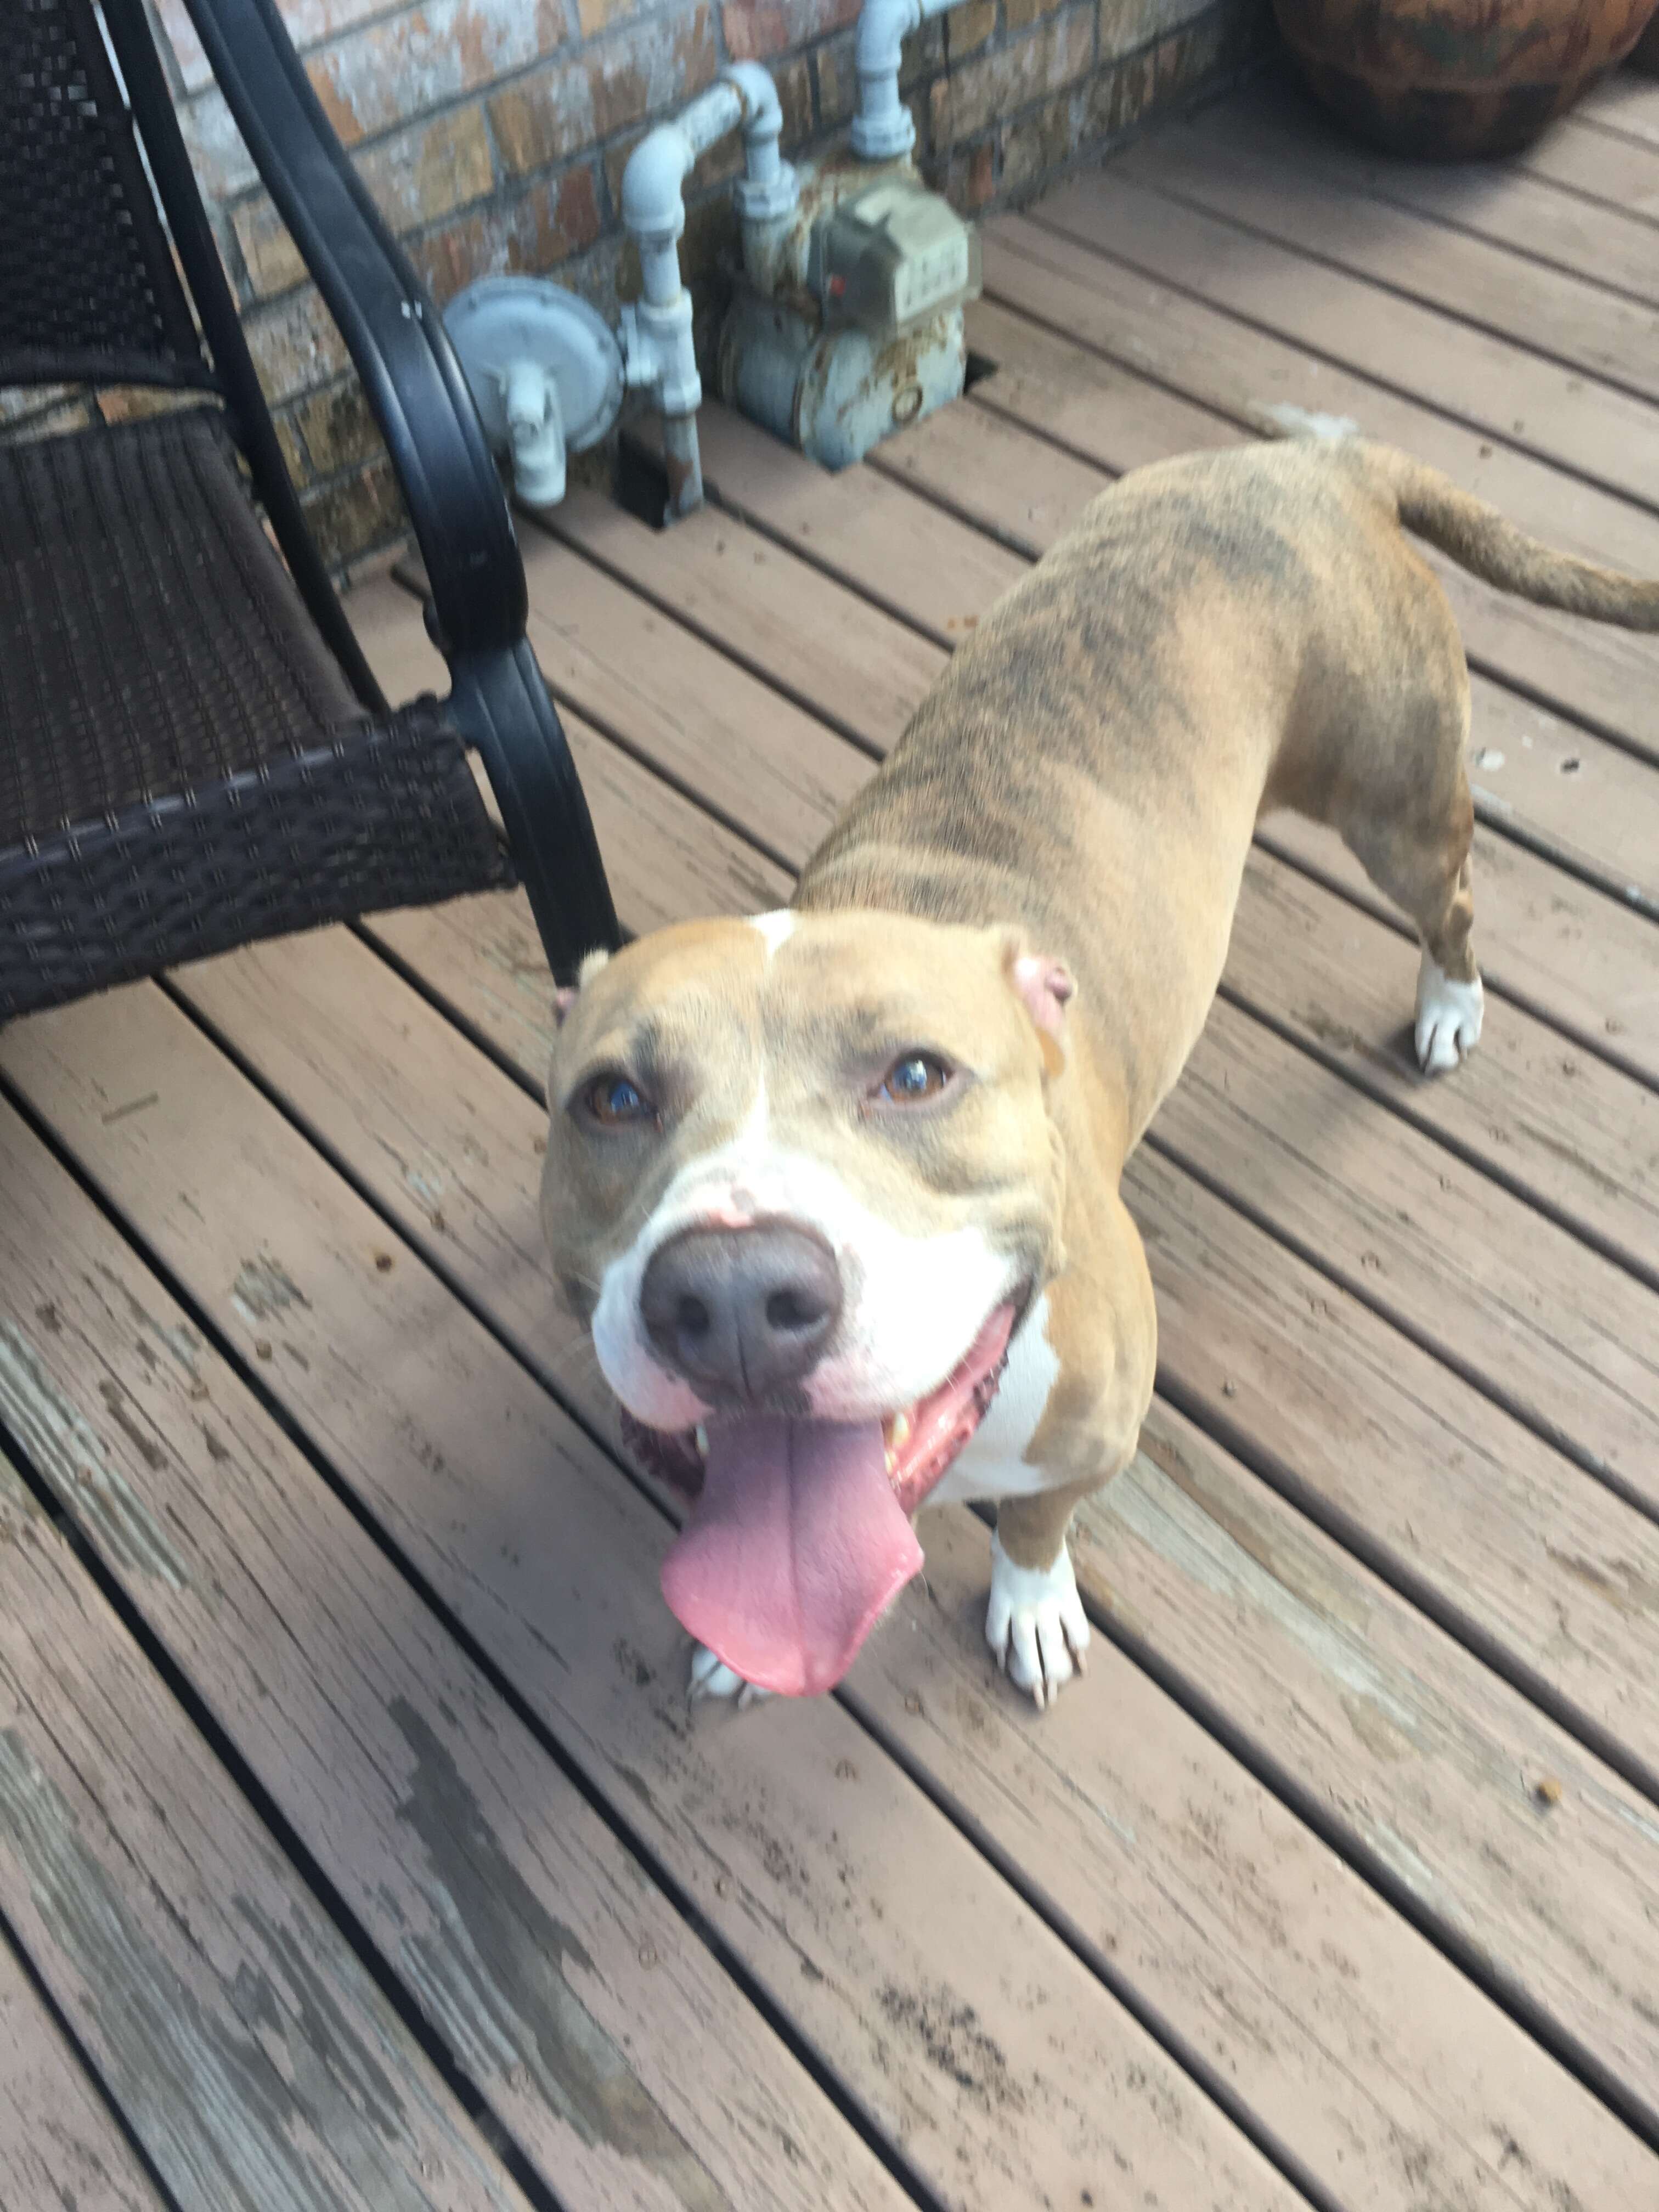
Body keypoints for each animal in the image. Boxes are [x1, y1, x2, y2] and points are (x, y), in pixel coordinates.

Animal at [548, 436, 1659, 1707]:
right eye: (612, 1100)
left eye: (918, 1076)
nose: (732, 1299)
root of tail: (1310, 456)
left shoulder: (1092, 1436)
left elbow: (1037, 1527)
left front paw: (1030, 1605)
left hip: (1397, 812)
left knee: (1455, 905)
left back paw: (1449, 1005)